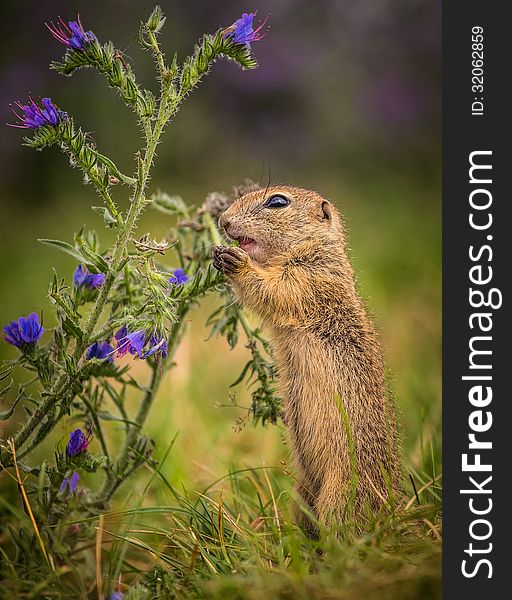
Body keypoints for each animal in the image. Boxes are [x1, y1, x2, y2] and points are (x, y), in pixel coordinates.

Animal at [211, 185, 400, 532]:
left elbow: (274, 290)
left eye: (277, 201)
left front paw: (236, 262)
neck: (314, 249)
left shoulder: (307, 279)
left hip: (342, 496)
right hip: (303, 492)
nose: (223, 220)